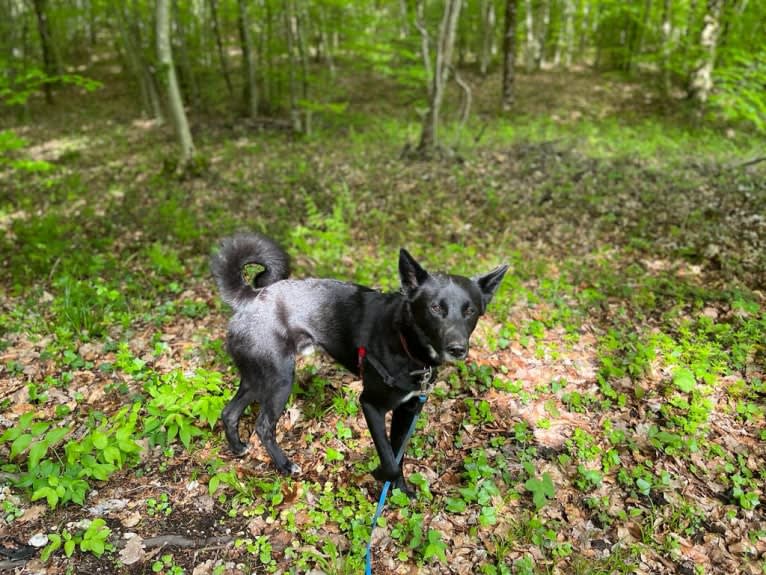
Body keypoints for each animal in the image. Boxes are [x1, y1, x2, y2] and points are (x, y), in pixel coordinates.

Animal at [212, 232, 510, 492]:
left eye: (470, 310)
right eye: (435, 308)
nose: (457, 349)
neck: (405, 340)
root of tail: (251, 298)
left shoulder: (408, 408)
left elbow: (397, 453)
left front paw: (399, 492)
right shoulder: (371, 405)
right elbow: (389, 459)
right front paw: (380, 475)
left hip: (258, 375)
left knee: (229, 412)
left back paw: (238, 448)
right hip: (279, 379)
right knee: (263, 426)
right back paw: (285, 465)